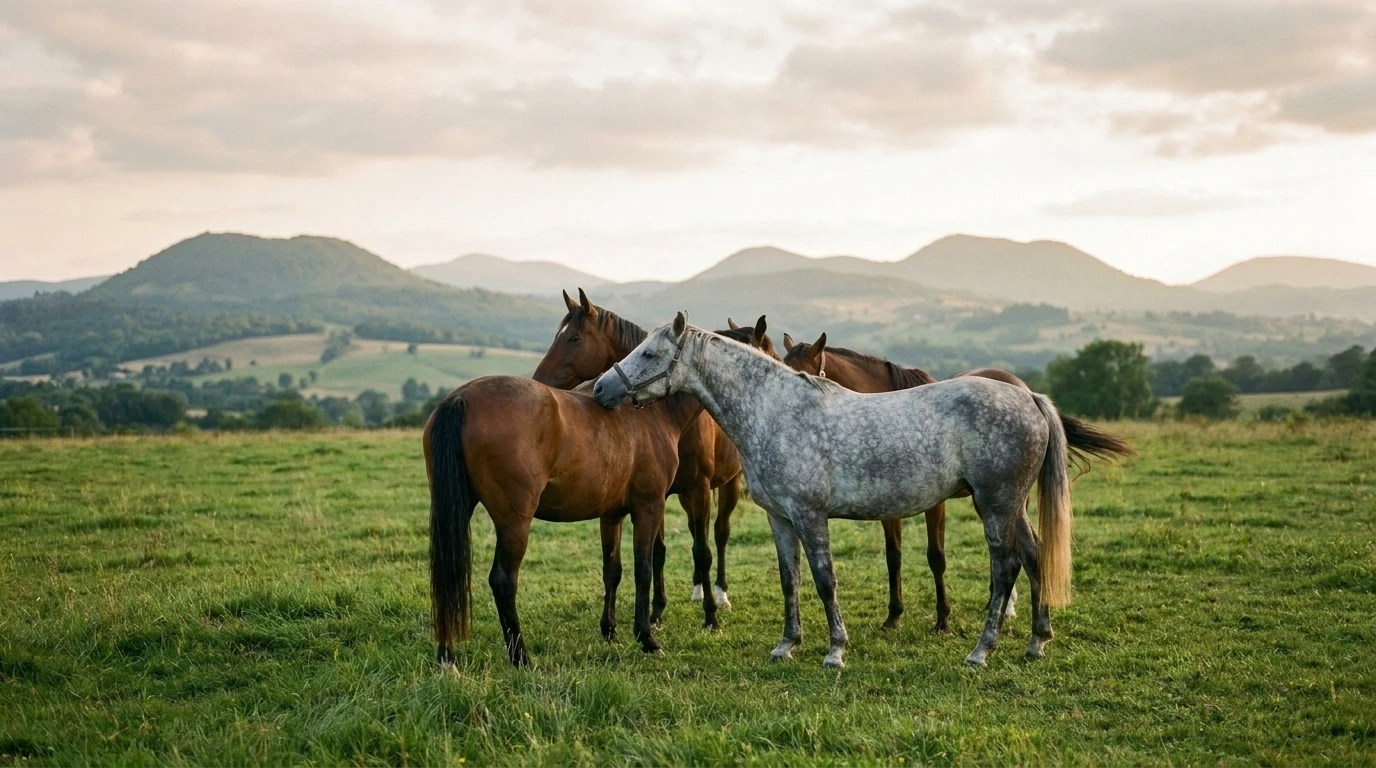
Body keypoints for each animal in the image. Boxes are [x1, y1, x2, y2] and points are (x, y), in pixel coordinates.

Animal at [425, 373, 706, 667]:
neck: (654, 410)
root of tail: (461, 398)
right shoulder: (649, 507)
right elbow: (644, 570)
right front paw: (646, 638)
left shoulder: (612, 514)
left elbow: (612, 570)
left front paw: (610, 630)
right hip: (514, 523)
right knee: (502, 581)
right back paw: (521, 658)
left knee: (446, 576)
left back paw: (447, 658)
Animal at [531, 290, 771, 623]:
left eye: (574, 338)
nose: (539, 380)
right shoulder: (659, 493)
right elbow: (658, 552)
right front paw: (656, 611)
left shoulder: (697, 488)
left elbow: (703, 551)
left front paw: (710, 614)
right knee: (695, 531)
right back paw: (698, 589)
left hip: (728, 484)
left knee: (720, 533)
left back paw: (720, 594)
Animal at [594, 314, 1076, 668]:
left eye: (650, 352)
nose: (601, 389)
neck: (774, 410)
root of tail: (1030, 398)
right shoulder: (781, 518)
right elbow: (790, 579)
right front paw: (787, 645)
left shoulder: (810, 514)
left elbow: (825, 580)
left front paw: (835, 651)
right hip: (1013, 507)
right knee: (1035, 557)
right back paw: (1037, 642)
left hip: (995, 504)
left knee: (1006, 568)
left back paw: (981, 651)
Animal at [779, 332, 1134, 632]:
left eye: (804, 376)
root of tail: (1026, 390)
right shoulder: (888, 509)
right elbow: (893, 557)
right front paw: (893, 616)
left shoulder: (935, 506)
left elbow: (936, 557)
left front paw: (943, 619)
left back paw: (1002, 606)